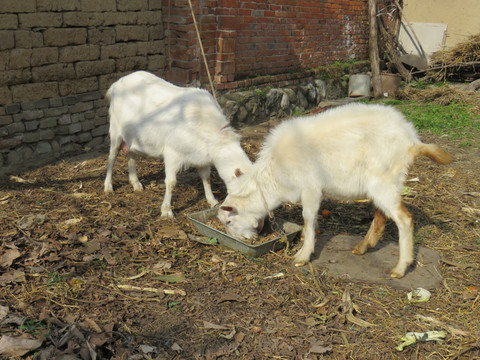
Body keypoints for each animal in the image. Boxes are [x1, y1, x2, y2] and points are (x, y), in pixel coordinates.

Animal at [103, 70, 253, 217]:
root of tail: (116, 84)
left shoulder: (202, 158)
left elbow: (206, 178)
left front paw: (212, 201)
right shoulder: (172, 152)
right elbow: (171, 182)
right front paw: (166, 211)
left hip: (132, 136)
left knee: (131, 154)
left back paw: (136, 184)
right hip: (115, 129)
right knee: (112, 156)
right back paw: (108, 186)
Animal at [219, 102, 452, 278]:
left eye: (229, 221)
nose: (245, 241)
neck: (275, 172)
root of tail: (412, 140)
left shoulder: (310, 188)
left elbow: (307, 218)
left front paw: (303, 255)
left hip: (384, 181)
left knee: (404, 219)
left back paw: (400, 268)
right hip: (383, 184)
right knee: (382, 214)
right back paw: (364, 246)